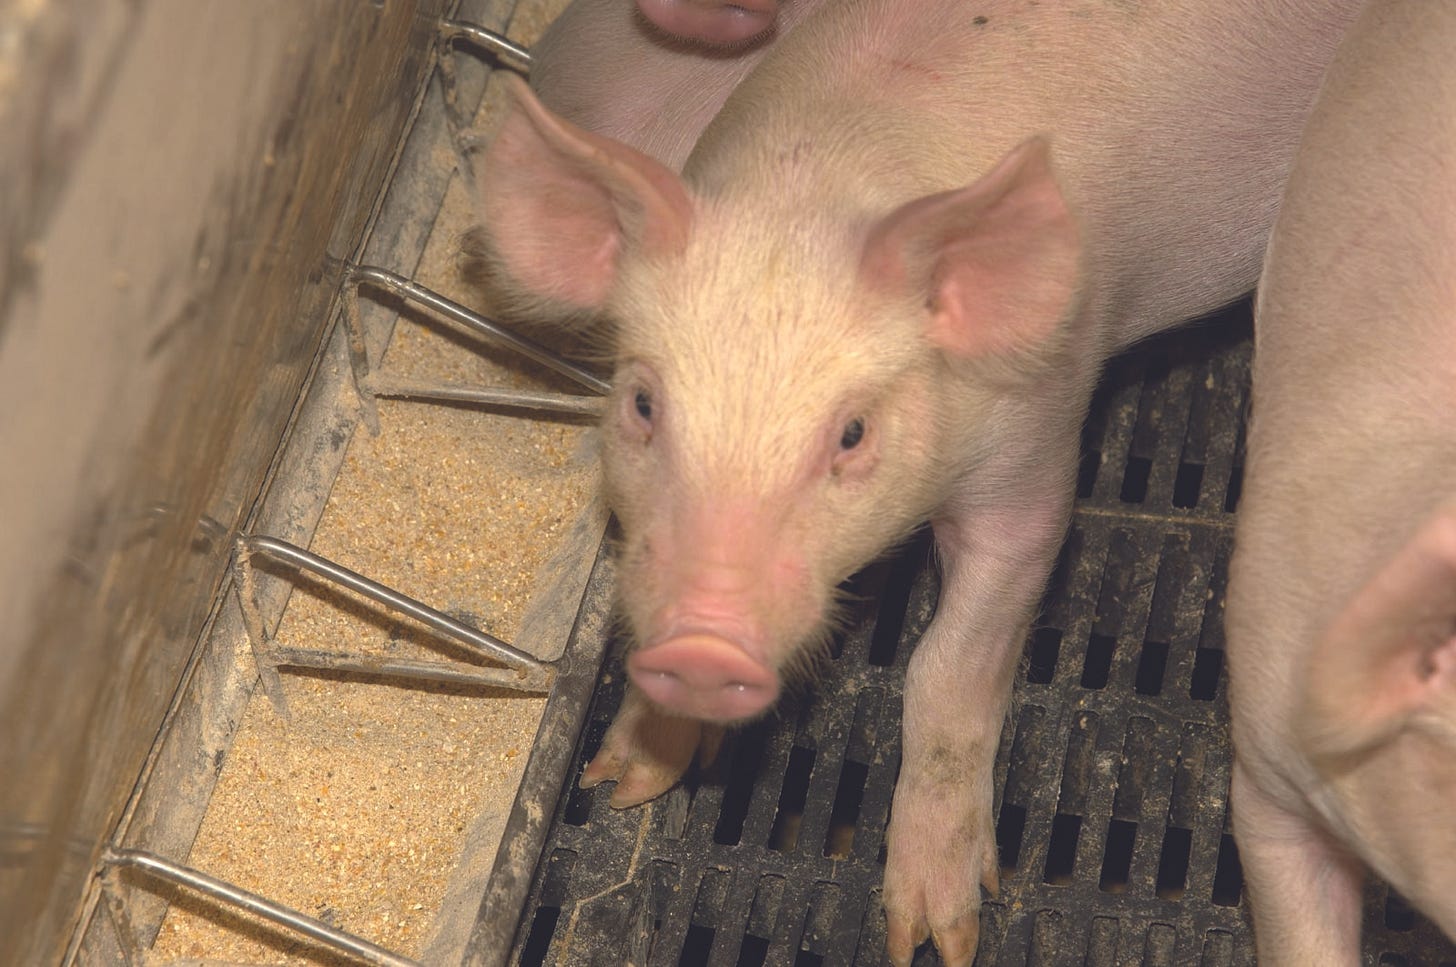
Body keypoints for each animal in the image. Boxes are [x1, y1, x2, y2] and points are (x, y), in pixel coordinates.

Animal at [473, 1, 1360, 963]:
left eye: (853, 431)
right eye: (642, 402)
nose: (701, 645)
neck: (822, 176)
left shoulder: (1038, 437)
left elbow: (948, 661)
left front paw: (935, 933)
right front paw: (624, 776)